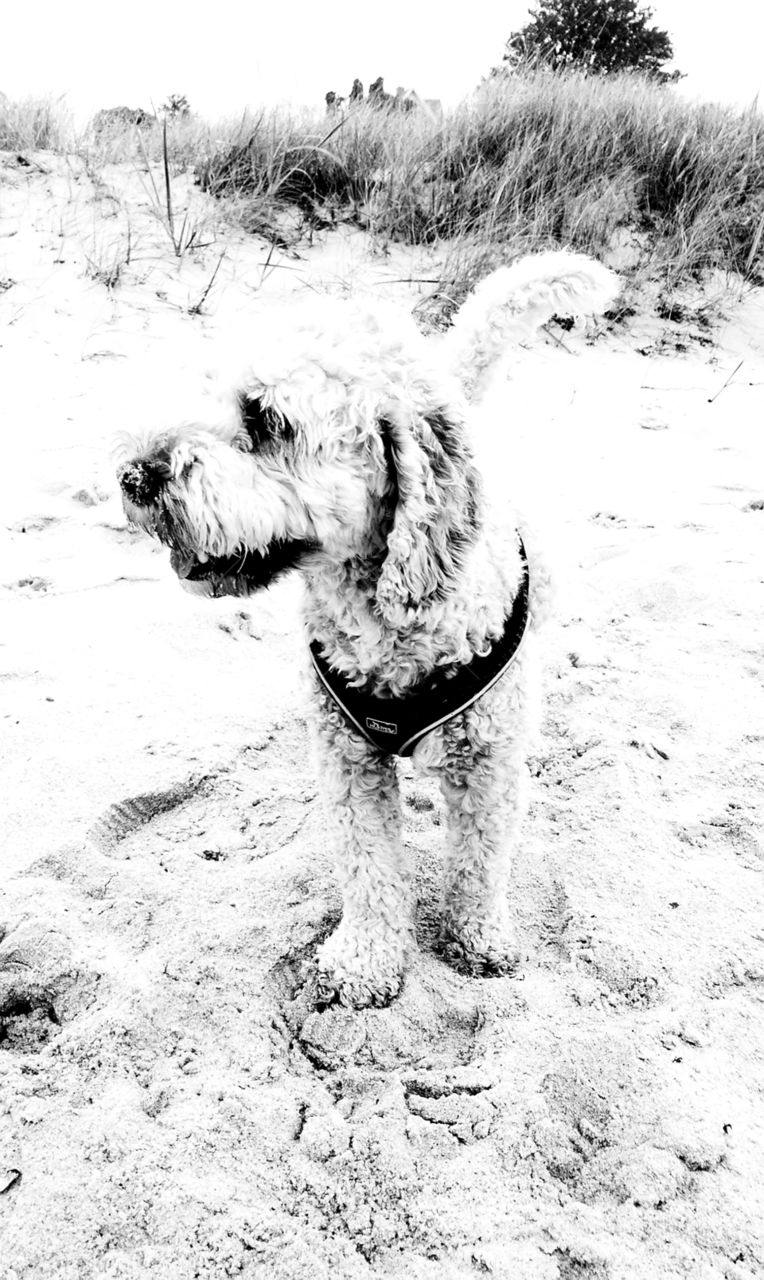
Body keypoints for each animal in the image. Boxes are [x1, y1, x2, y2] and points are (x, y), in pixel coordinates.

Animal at [120, 249, 619, 1008]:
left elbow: (480, 861)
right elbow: (368, 866)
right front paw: (366, 962)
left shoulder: (489, 762)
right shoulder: (349, 760)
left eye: (266, 419)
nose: (131, 477)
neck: (388, 618)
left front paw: (477, 939)